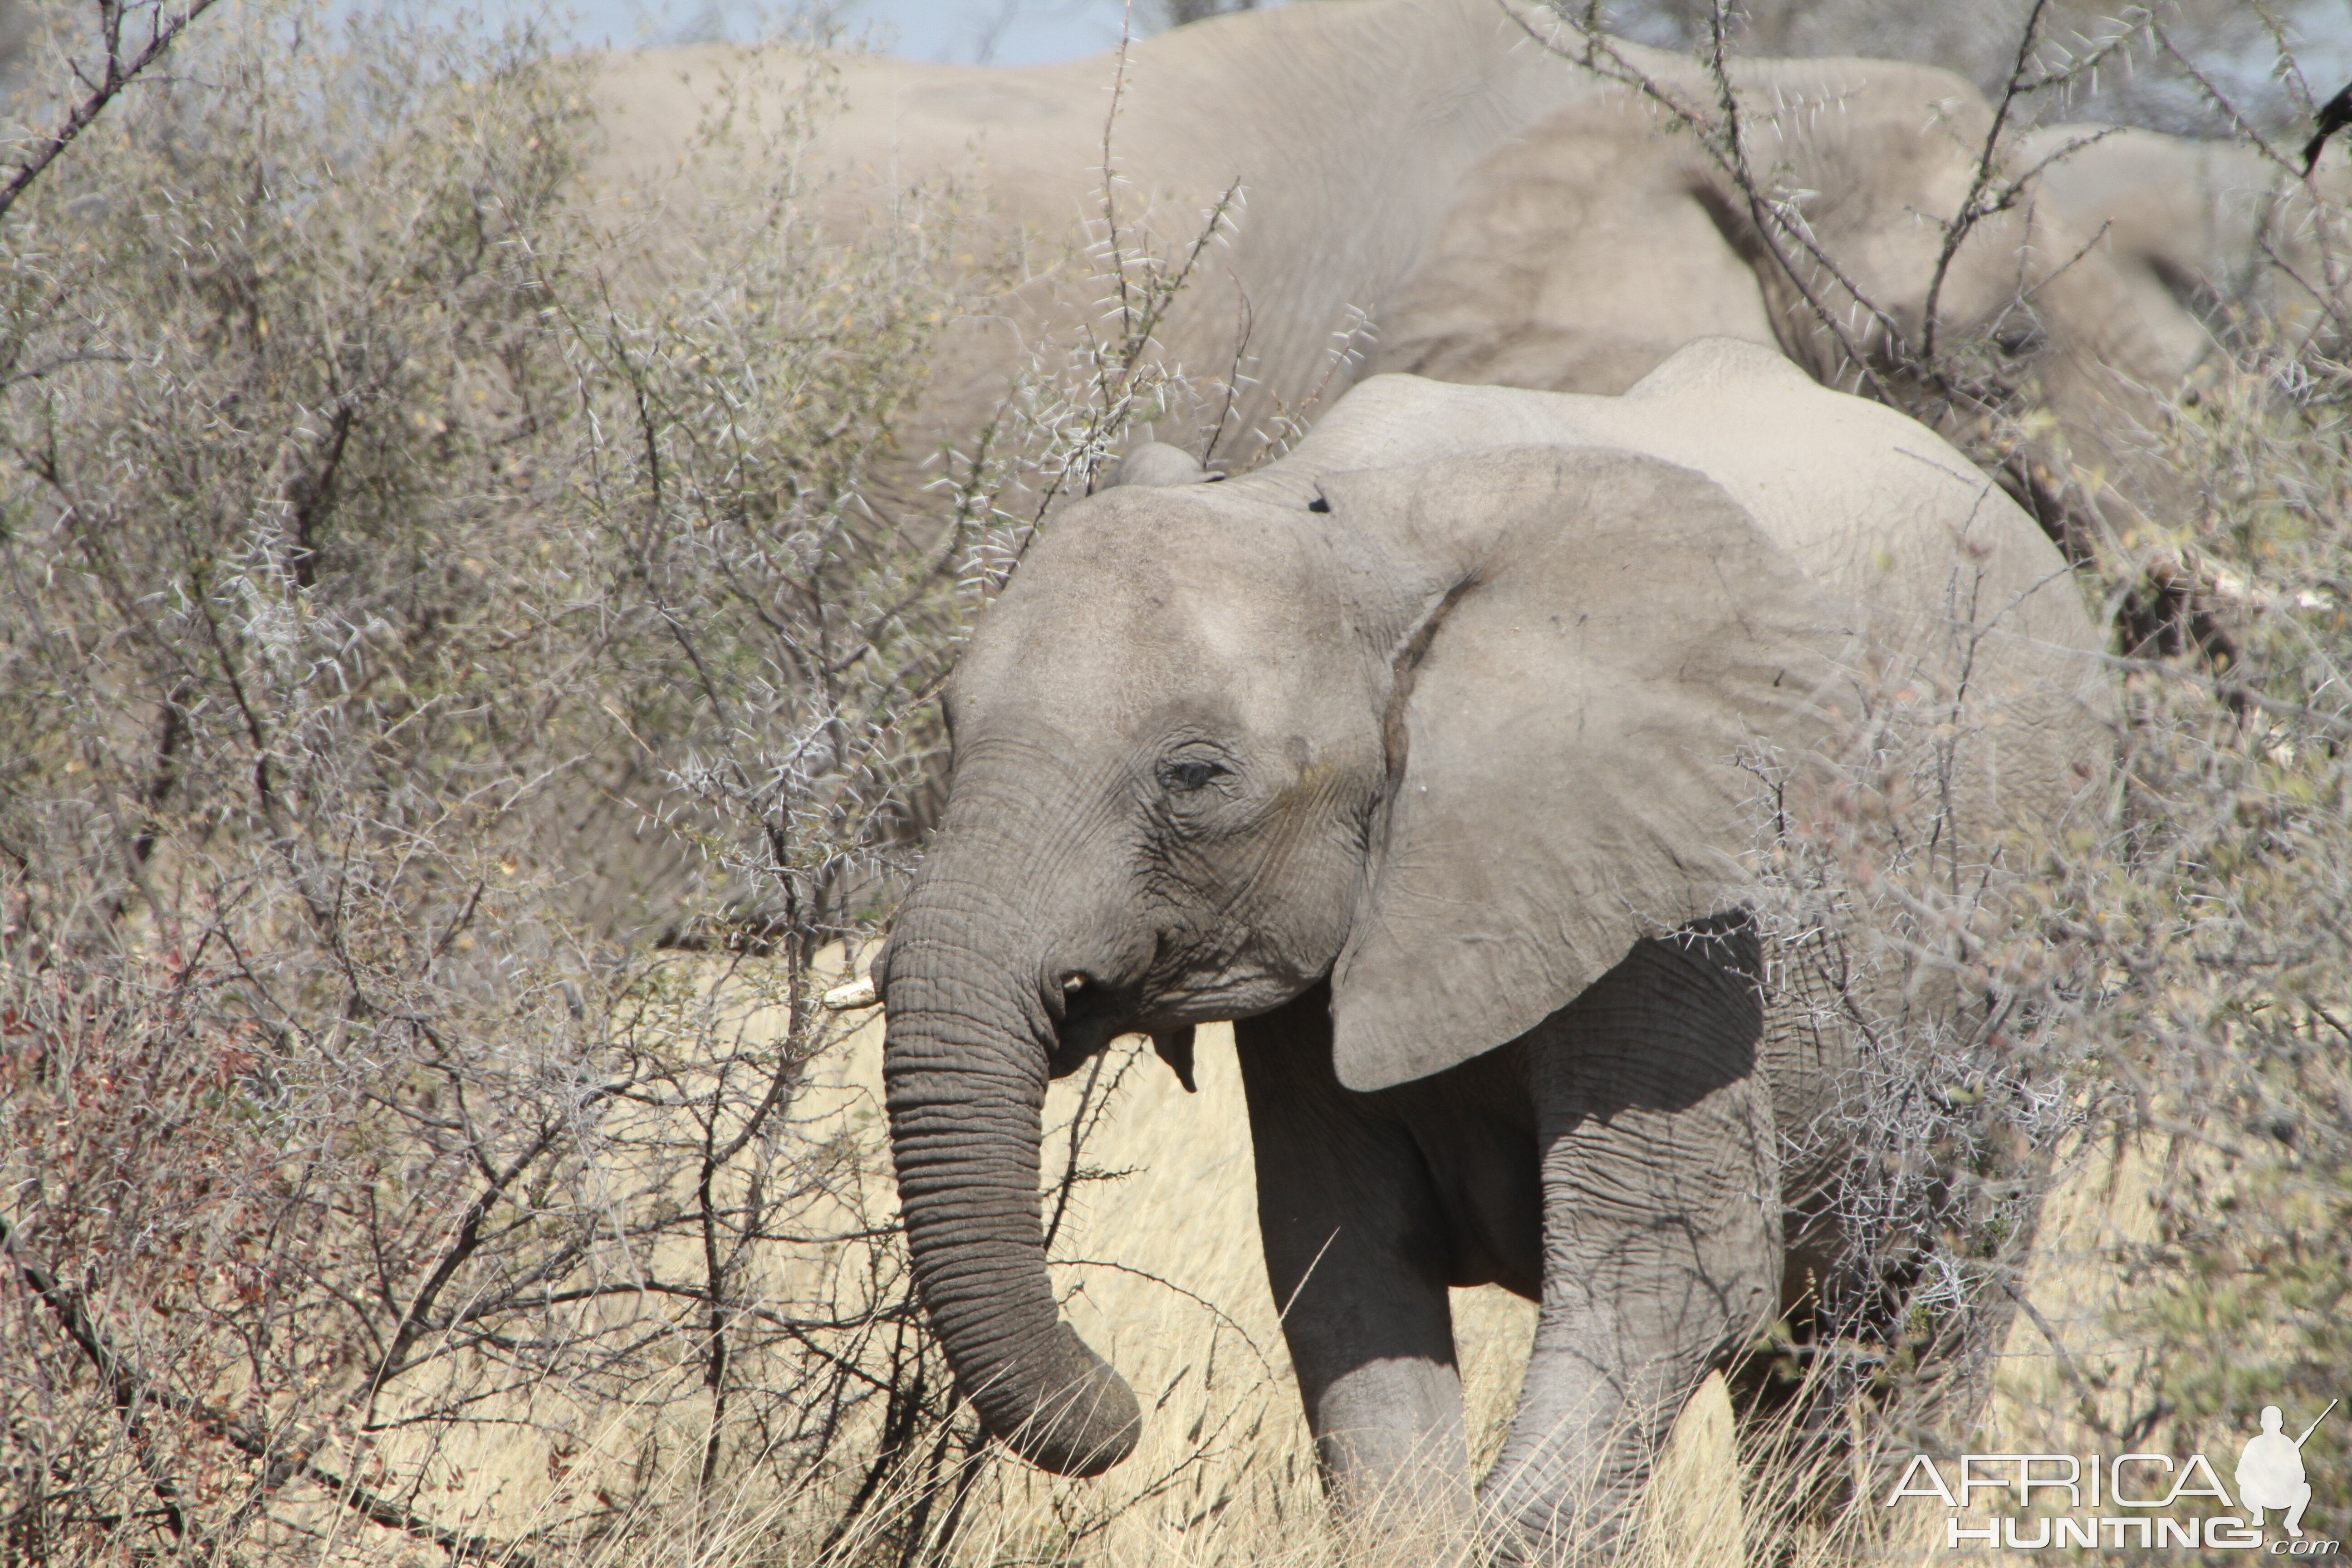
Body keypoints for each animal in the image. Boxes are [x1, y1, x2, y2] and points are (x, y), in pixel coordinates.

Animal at [870, 333, 2117, 1561]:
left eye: (1194, 774)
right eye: (950, 723)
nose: (1126, 1405)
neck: (1349, 517)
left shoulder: (1682, 901)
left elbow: (1668, 1268)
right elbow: (1341, 1263)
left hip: (2035, 952)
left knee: (1926, 1318)